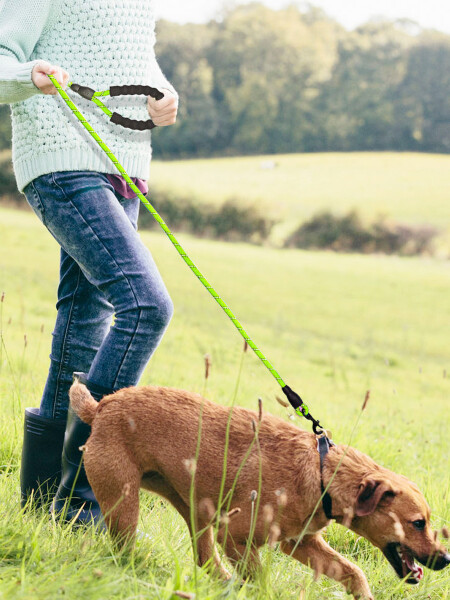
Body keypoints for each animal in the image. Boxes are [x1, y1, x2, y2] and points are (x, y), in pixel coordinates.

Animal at [68, 382, 448, 596]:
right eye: (417, 523)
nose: (445, 559)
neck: (322, 472)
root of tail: (102, 406)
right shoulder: (236, 538)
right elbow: (261, 581)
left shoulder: (301, 543)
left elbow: (353, 573)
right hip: (125, 505)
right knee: (124, 551)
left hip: (196, 510)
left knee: (205, 561)